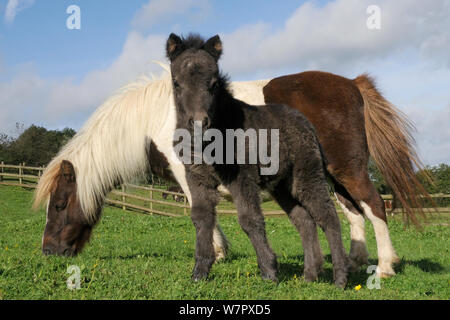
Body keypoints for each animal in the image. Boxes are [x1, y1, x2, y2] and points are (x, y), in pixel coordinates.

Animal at [165, 33, 348, 288]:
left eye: (214, 84)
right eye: (176, 83)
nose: (200, 122)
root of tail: (306, 123)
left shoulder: (242, 177)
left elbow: (250, 219)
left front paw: (269, 271)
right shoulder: (197, 179)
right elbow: (201, 218)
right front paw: (199, 272)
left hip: (307, 175)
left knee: (328, 216)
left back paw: (340, 278)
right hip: (283, 186)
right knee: (304, 221)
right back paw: (309, 275)